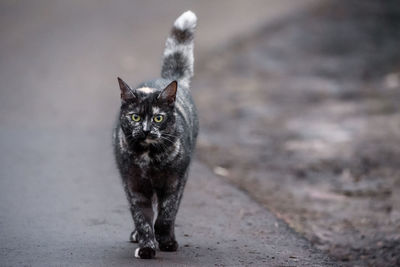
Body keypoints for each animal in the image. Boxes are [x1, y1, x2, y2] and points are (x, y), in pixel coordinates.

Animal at [112, 11, 198, 260]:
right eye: (135, 117)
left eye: (158, 118)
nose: (146, 130)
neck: (149, 158)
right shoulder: (134, 186)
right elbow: (142, 218)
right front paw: (147, 246)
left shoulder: (175, 182)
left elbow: (166, 214)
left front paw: (167, 241)